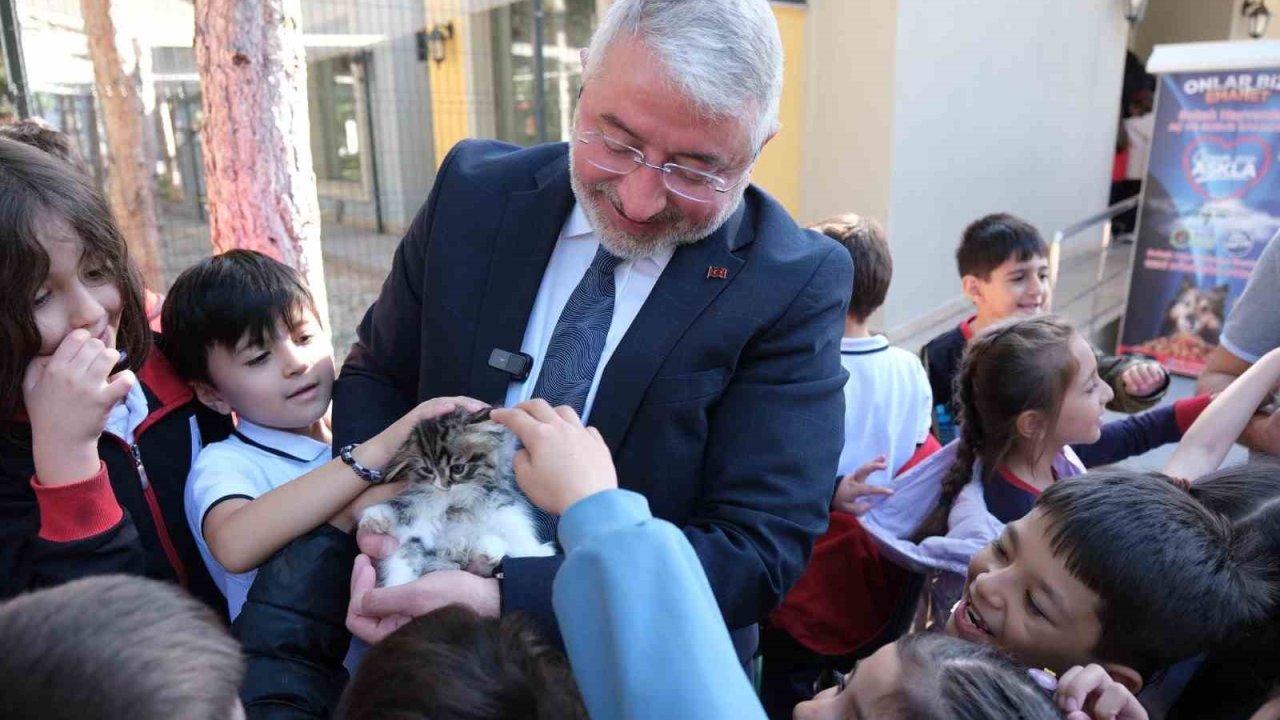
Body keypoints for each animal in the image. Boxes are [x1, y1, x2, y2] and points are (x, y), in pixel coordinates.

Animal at [358, 407, 552, 586]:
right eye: (427, 470)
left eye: (458, 468)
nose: (443, 486)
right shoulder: (416, 517)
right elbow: (402, 514)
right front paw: (376, 518)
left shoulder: (499, 499)